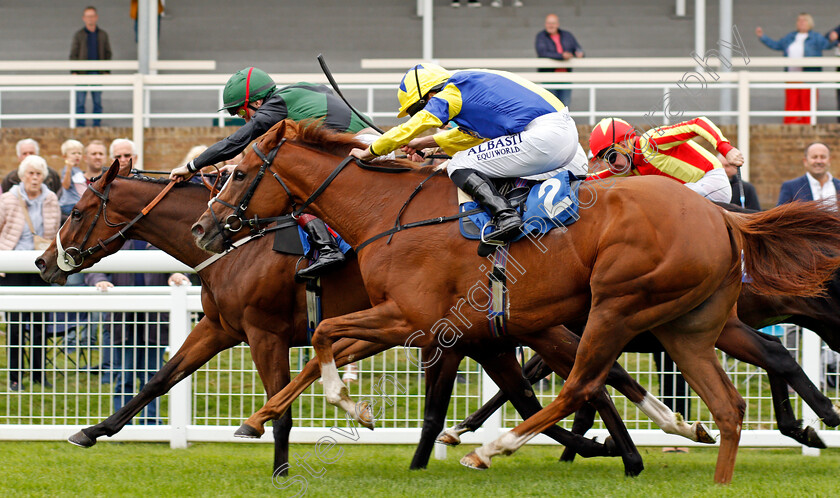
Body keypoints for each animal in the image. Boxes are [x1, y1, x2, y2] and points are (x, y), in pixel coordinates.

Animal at [36, 162, 688, 474]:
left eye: (78, 211)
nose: (43, 261)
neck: (240, 243)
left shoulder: (265, 332)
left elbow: (281, 407)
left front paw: (277, 464)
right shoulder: (219, 326)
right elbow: (159, 379)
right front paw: (91, 431)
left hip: (529, 328)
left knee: (589, 381)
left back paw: (631, 444)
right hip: (496, 337)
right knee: (559, 389)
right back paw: (610, 448)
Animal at [195, 120, 840, 482]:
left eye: (240, 172)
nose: (204, 228)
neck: (389, 214)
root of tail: (725, 218)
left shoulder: (416, 318)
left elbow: (325, 339)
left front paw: (356, 409)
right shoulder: (454, 329)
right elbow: (325, 345)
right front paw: (271, 415)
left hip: (619, 303)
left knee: (584, 383)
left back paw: (494, 447)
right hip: (683, 324)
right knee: (721, 398)